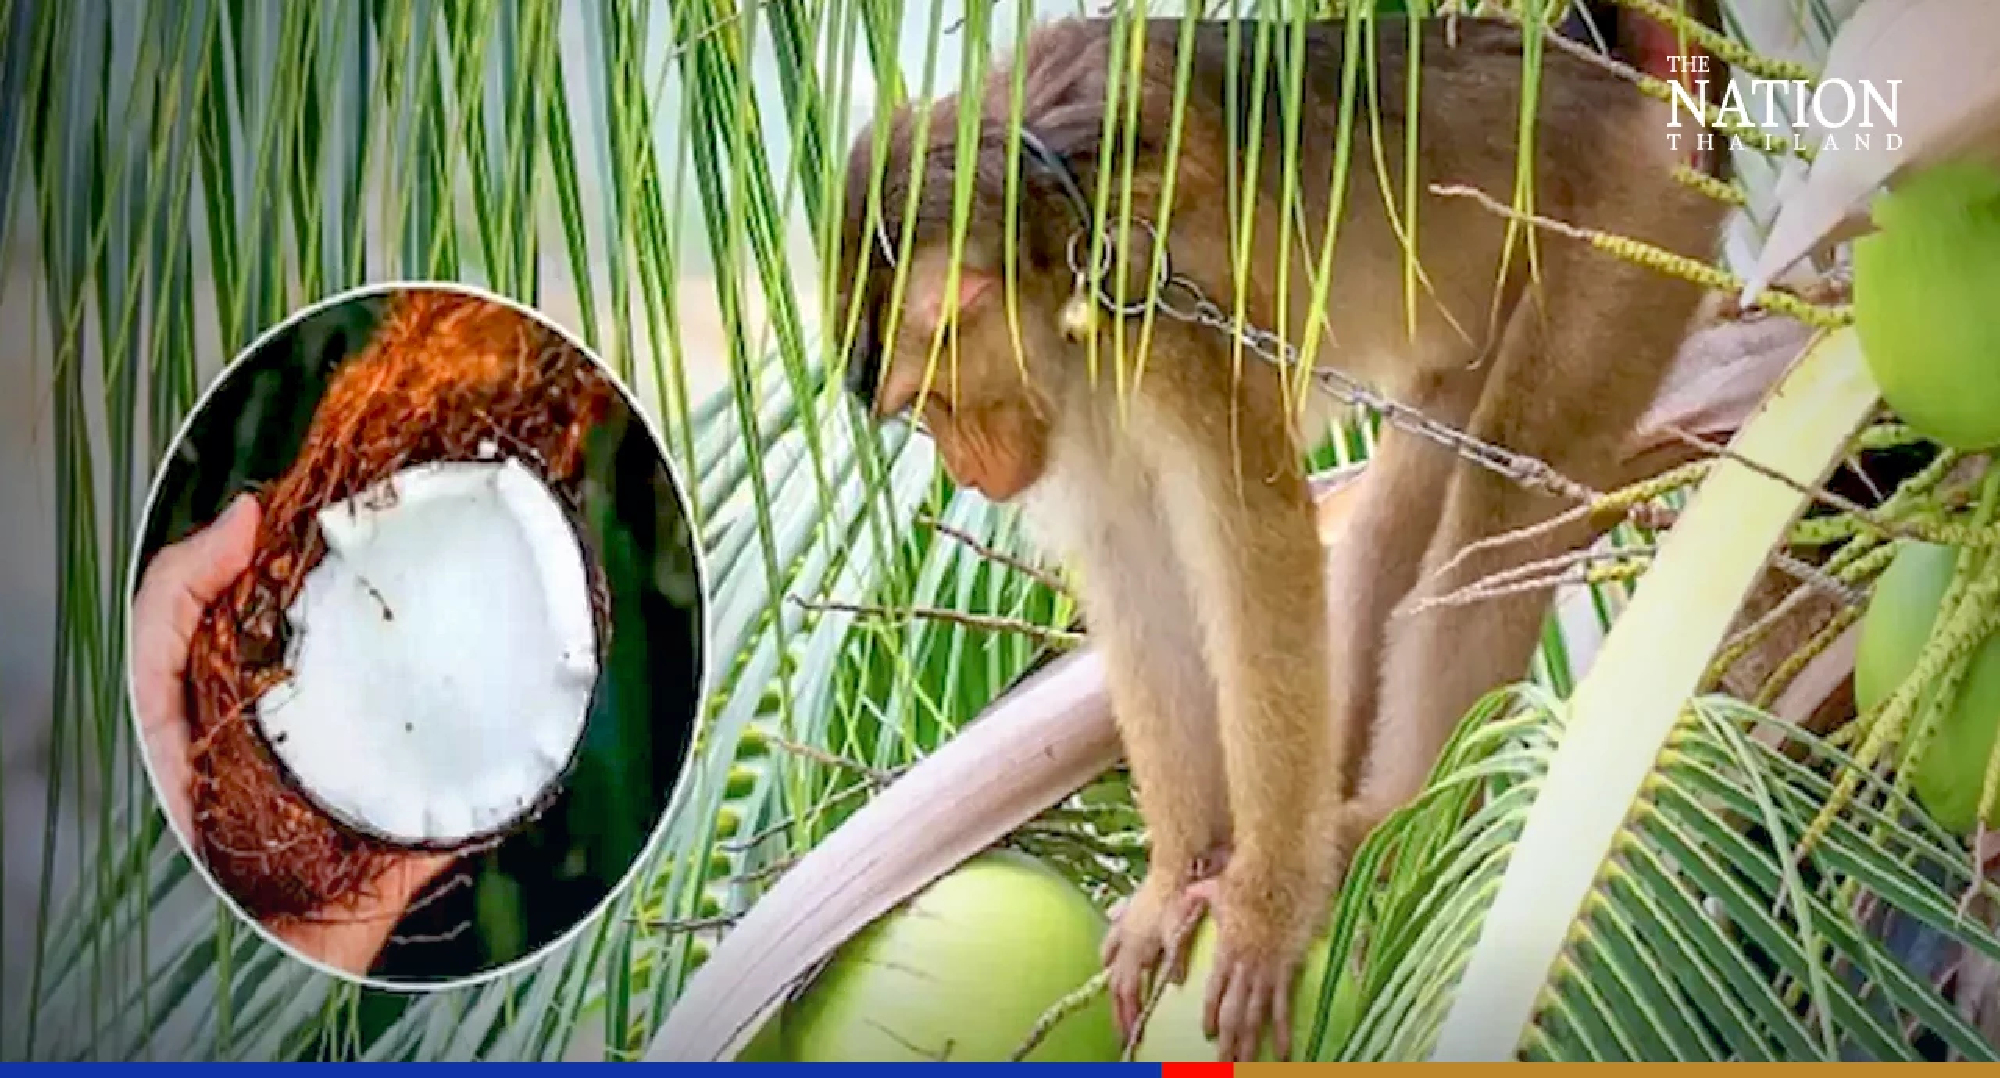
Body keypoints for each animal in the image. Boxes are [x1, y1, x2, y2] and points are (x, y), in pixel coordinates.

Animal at [835, 14, 1728, 1061]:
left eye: (931, 403)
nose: (964, 467)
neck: (1052, 228)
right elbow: (1137, 565)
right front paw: (1180, 877)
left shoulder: (1159, 305)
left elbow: (1255, 555)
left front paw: (1264, 909)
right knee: (1405, 498)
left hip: (1648, 210)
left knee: (1508, 485)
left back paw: (1388, 813)